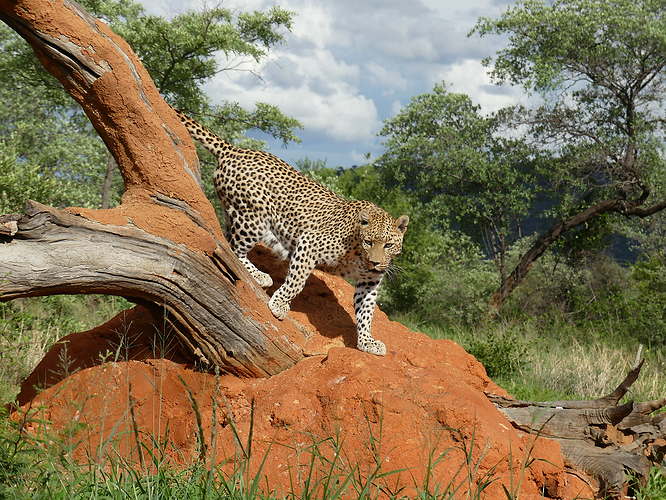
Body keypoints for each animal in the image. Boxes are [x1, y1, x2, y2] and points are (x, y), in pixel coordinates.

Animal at [172, 110, 404, 356]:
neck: (358, 254)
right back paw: (260, 276)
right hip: (253, 218)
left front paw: (367, 342)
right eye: (369, 242)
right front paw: (280, 304)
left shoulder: (369, 281)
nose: (375, 263)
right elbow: (297, 281)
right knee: (232, 249)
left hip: (234, 213)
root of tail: (234, 149)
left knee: (226, 242)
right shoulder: (309, 242)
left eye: (388, 245)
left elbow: (366, 312)